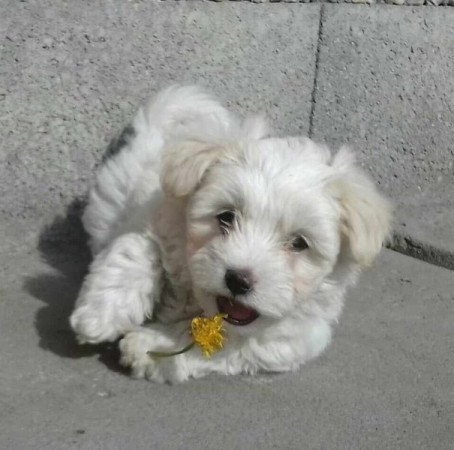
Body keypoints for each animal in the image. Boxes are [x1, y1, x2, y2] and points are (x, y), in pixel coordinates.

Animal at [69, 87, 392, 384]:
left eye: (299, 243)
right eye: (226, 217)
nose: (238, 280)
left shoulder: (294, 337)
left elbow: (231, 340)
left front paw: (149, 347)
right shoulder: (156, 221)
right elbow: (134, 253)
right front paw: (100, 313)